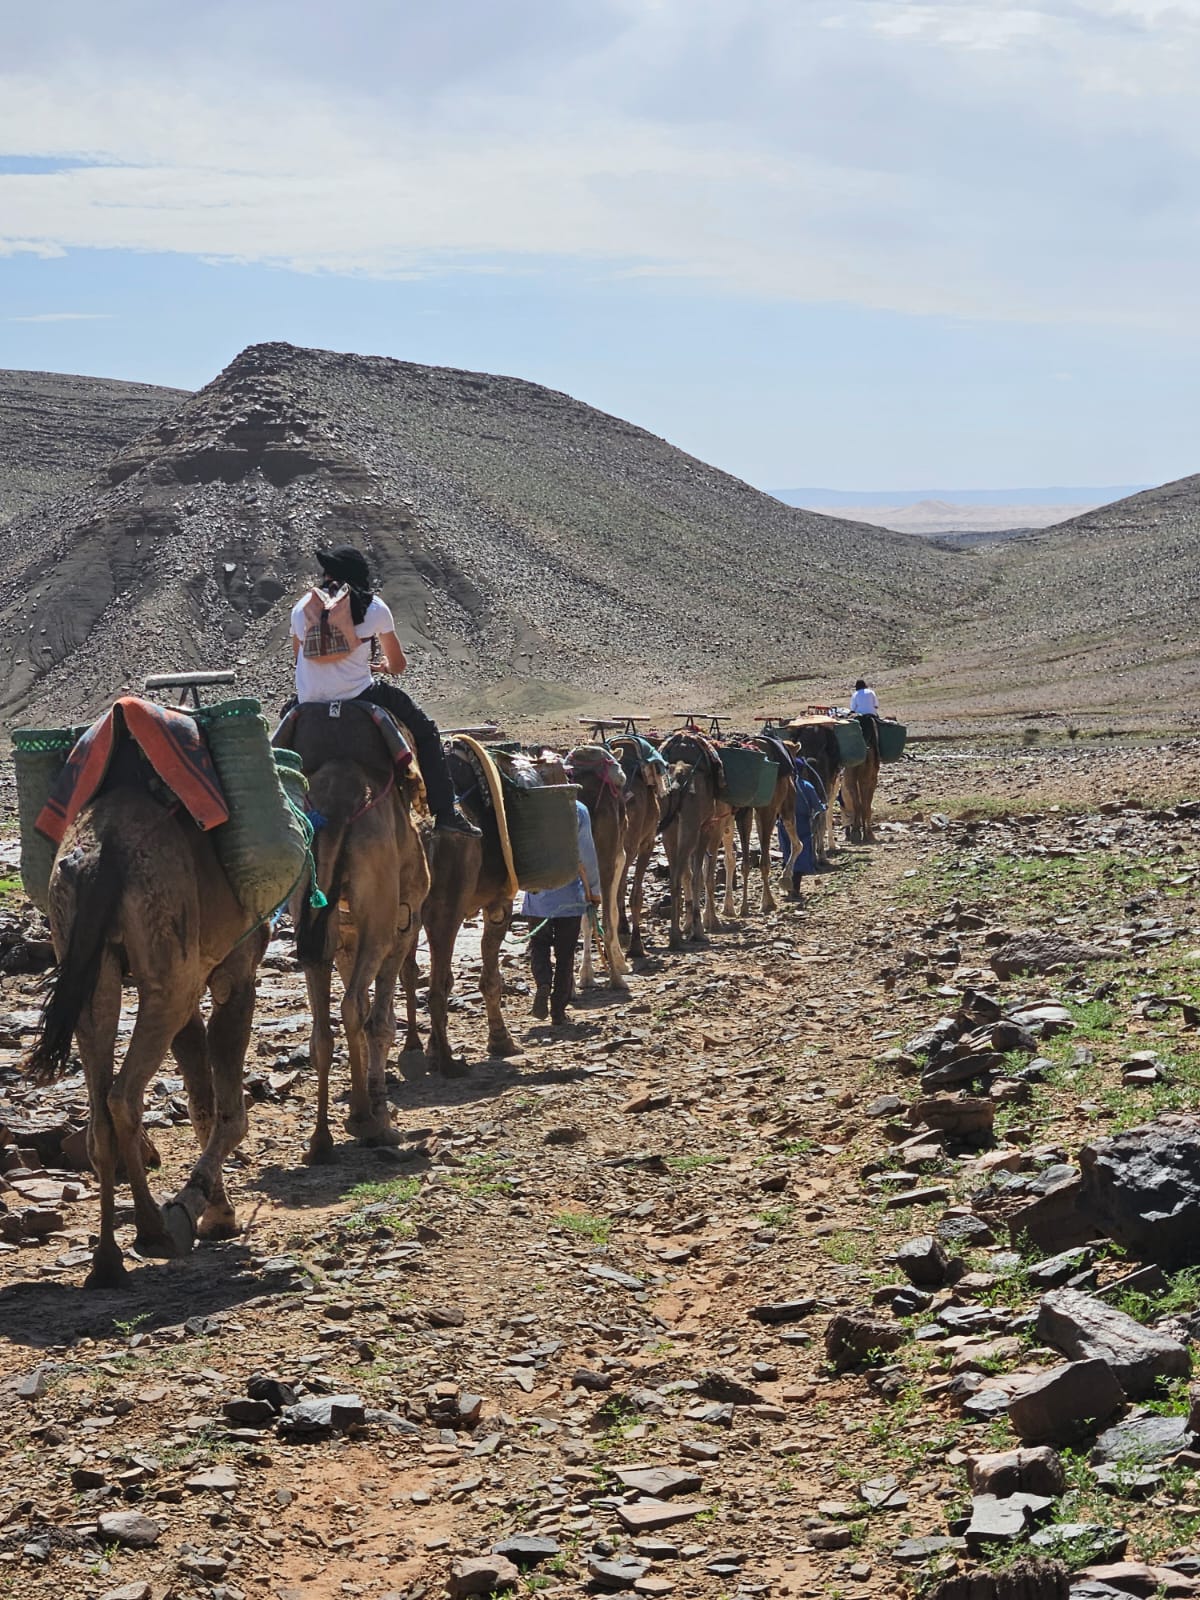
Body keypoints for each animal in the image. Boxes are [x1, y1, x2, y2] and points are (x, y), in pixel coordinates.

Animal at [24, 739, 267, 1288]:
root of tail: (99, 854)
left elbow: (201, 1103)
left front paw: (216, 1213)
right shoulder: (234, 974)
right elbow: (229, 1112)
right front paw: (199, 1209)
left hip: (88, 964)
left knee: (99, 1112)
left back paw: (108, 1262)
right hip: (165, 970)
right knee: (122, 1096)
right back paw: (153, 1229)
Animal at [285, 703, 430, 1161]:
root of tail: (336, 804)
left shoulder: (345, 938)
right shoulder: (402, 923)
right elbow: (378, 1019)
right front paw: (377, 1110)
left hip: (312, 922)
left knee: (322, 1030)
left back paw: (321, 1139)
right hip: (383, 919)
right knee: (353, 1008)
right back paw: (373, 1121)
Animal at [658, 730, 732, 948]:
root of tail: (677, 777)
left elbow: (690, 873)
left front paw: (690, 925)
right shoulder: (706, 826)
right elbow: (700, 875)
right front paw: (700, 928)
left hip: (670, 826)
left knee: (675, 874)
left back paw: (674, 935)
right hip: (692, 823)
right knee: (683, 873)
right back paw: (682, 935)